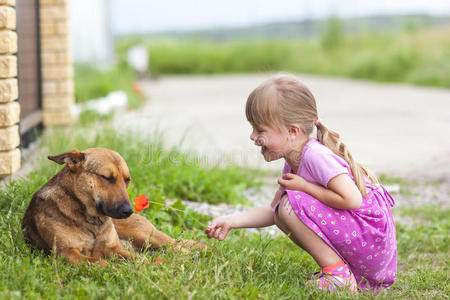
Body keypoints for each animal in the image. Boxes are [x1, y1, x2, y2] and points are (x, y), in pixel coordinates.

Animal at [21, 148, 207, 264]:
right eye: (107, 177)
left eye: (127, 180)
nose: (128, 211)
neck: (91, 220)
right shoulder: (66, 253)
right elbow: (100, 263)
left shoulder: (115, 249)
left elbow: (139, 261)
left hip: (147, 236)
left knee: (179, 246)